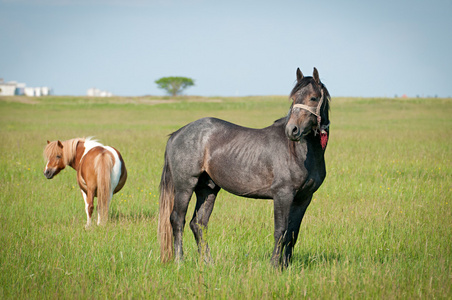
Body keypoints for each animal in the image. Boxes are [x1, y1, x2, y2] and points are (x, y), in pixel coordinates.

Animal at [159, 68, 332, 268]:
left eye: (313, 98)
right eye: (294, 98)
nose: (292, 130)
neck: (299, 151)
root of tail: (177, 134)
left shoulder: (304, 198)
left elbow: (292, 234)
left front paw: (286, 266)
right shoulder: (283, 195)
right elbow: (280, 231)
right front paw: (274, 266)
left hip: (207, 189)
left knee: (198, 223)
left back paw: (209, 263)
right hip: (185, 187)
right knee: (177, 220)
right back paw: (180, 261)